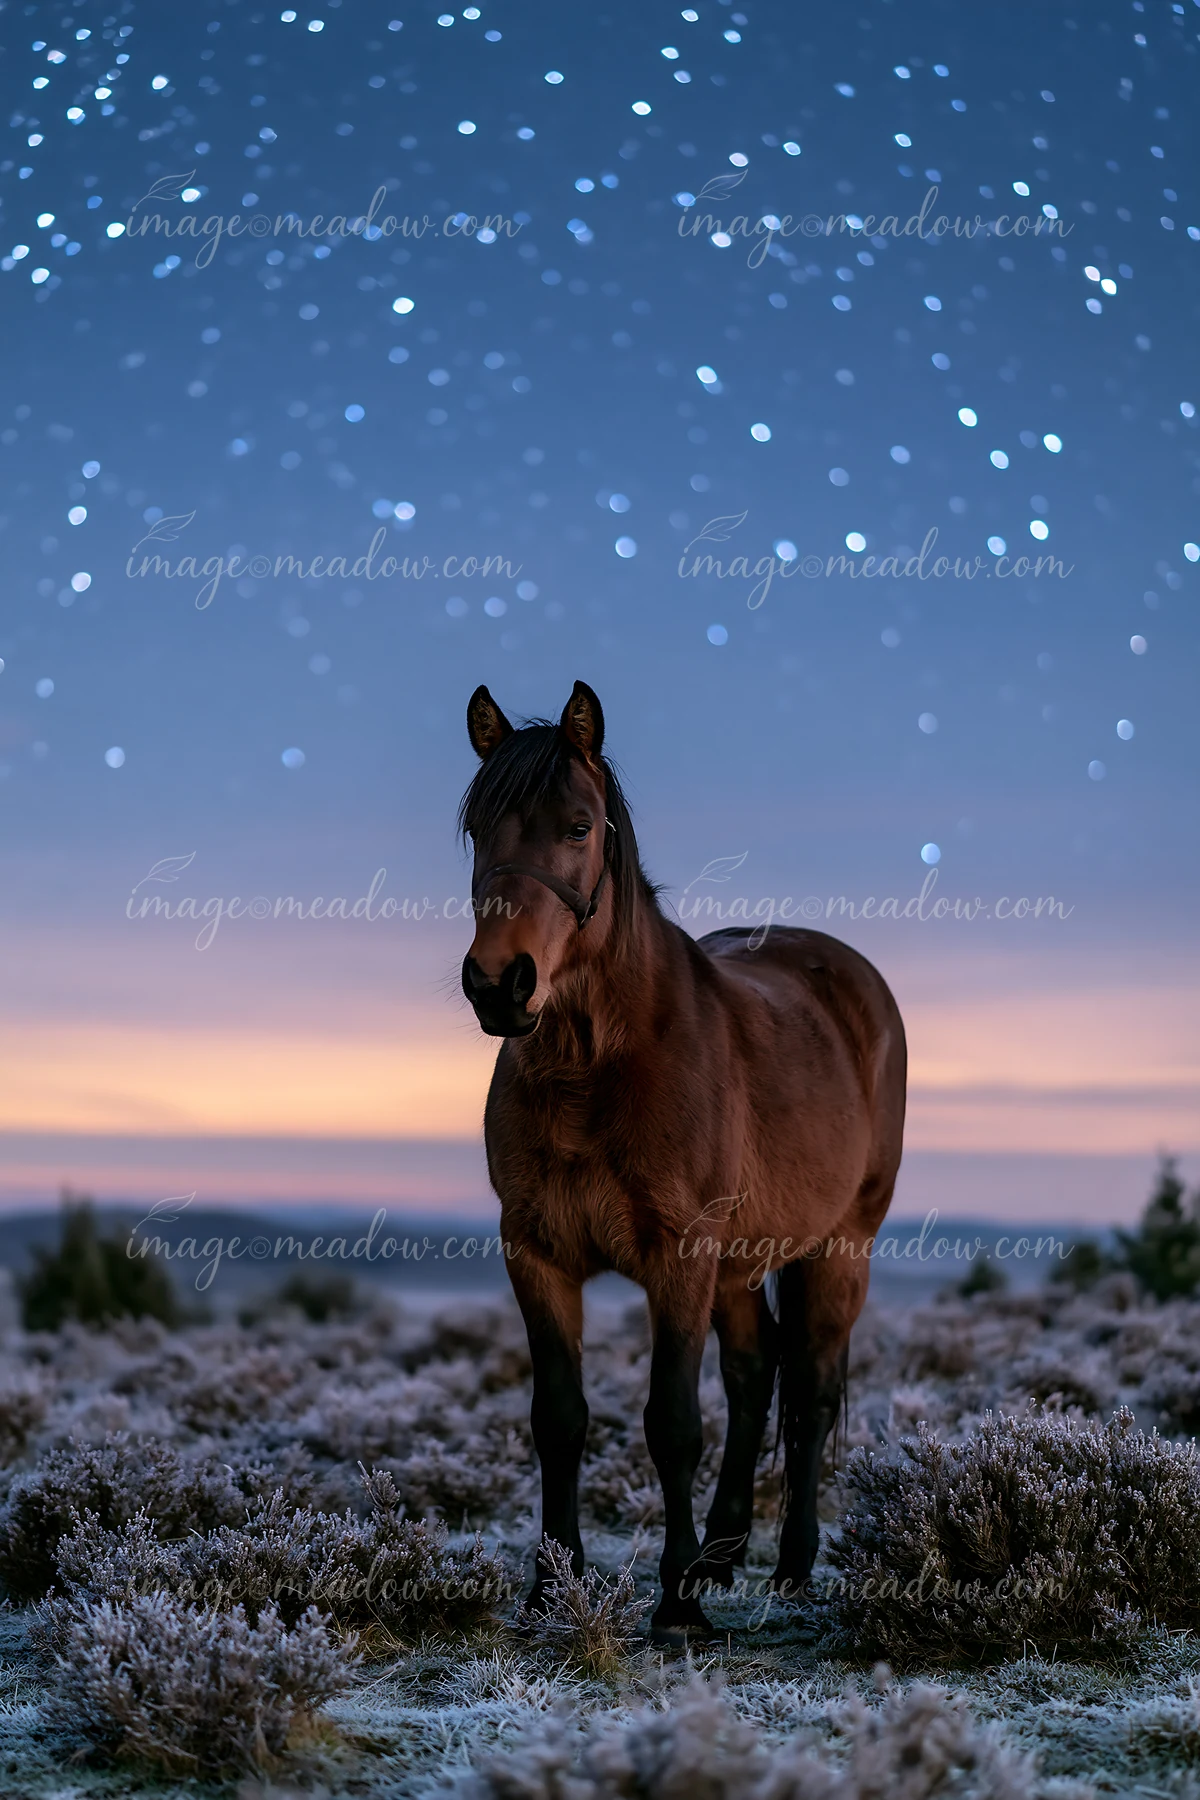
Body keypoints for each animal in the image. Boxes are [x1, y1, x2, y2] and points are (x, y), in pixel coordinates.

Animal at [458, 679, 906, 1640]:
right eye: (477, 829)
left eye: (579, 826)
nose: (499, 985)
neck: (596, 1066)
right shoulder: (537, 1255)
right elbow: (560, 1418)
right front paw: (551, 1587)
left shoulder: (679, 1258)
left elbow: (671, 1424)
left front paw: (674, 1607)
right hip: (738, 1267)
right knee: (754, 1375)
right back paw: (722, 1553)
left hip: (837, 1247)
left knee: (810, 1388)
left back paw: (789, 1566)